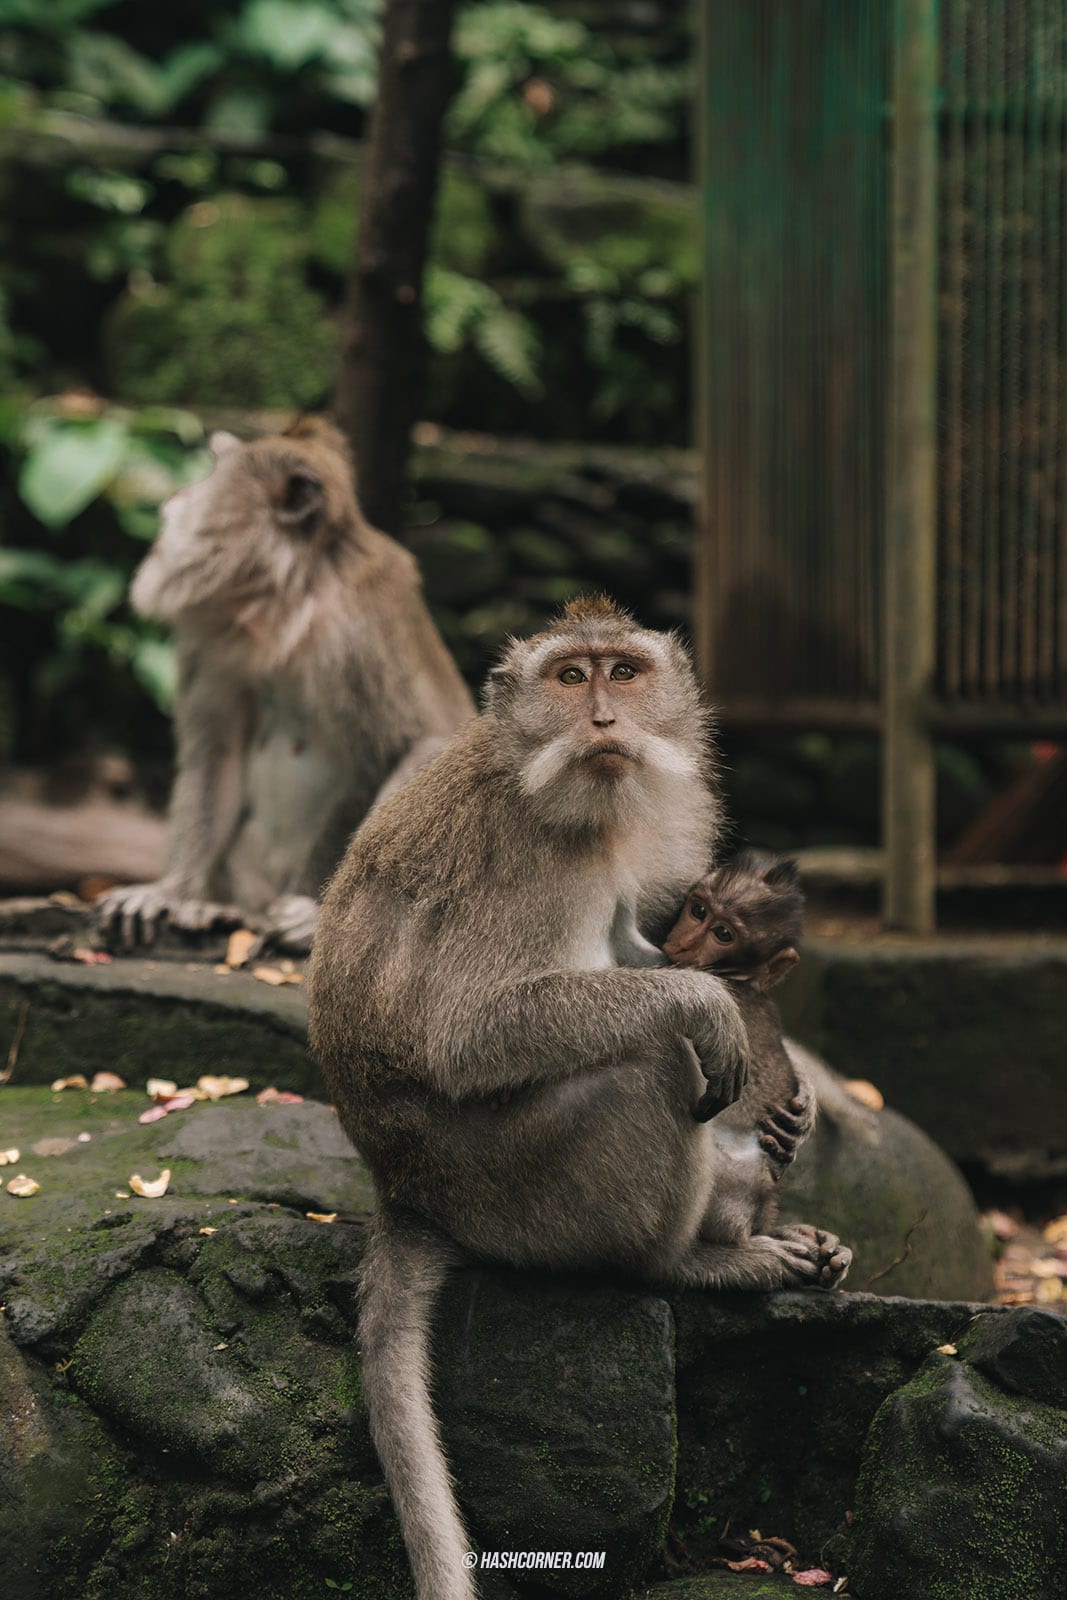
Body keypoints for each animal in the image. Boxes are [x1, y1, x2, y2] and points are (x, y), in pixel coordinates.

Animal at [94, 419, 470, 953]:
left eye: (213, 472)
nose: (175, 499)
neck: (286, 599)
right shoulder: (213, 638)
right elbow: (218, 754)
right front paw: (167, 892)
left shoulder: (358, 630)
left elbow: (404, 748)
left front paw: (315, 917)